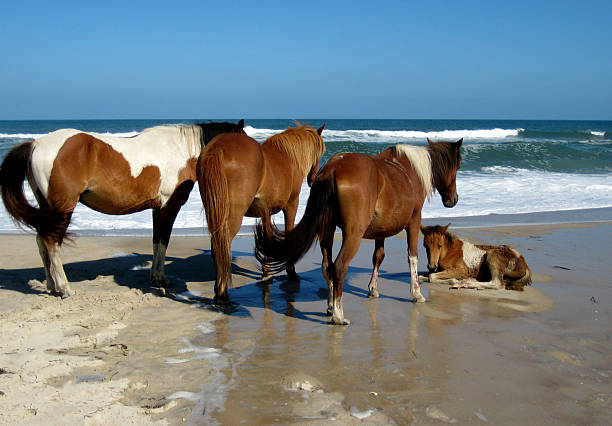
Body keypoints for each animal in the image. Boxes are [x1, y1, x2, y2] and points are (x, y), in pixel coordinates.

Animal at [0, 118, 244, 296]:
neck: (180, 151)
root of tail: (35, 144)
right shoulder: (169, 206)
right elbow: (164, 241)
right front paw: (162, 279)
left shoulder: (157, 209)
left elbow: (156, 241)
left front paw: (155, 277)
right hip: (62, 208)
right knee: (51, 243)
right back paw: (64, 288)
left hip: (48, 210)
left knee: (41, 241)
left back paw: (51, 286)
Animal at [198, 121, 328, 304]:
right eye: (319, 152)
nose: (313, 178)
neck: (289, 157)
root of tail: (218, 148)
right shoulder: (291, 205)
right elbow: (288, 233)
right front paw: (291, 272)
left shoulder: (266, 211)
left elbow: (267, 238)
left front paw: (266, 273)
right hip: (233, 217)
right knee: (222, 246)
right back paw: (222, 294)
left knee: (217, 247)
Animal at [255, 138, 464, 324]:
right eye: (457, 167)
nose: (453, 199)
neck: (410, 171)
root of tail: (333, 168)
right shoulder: (413, 221)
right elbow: (412, 256)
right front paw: (416, 293)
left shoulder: (381, 230)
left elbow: (378, 256)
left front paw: (372, 288)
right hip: (354, 234)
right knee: (339, 266)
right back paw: (338, 316)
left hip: (327, 230)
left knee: (327, 266)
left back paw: (330, 307)